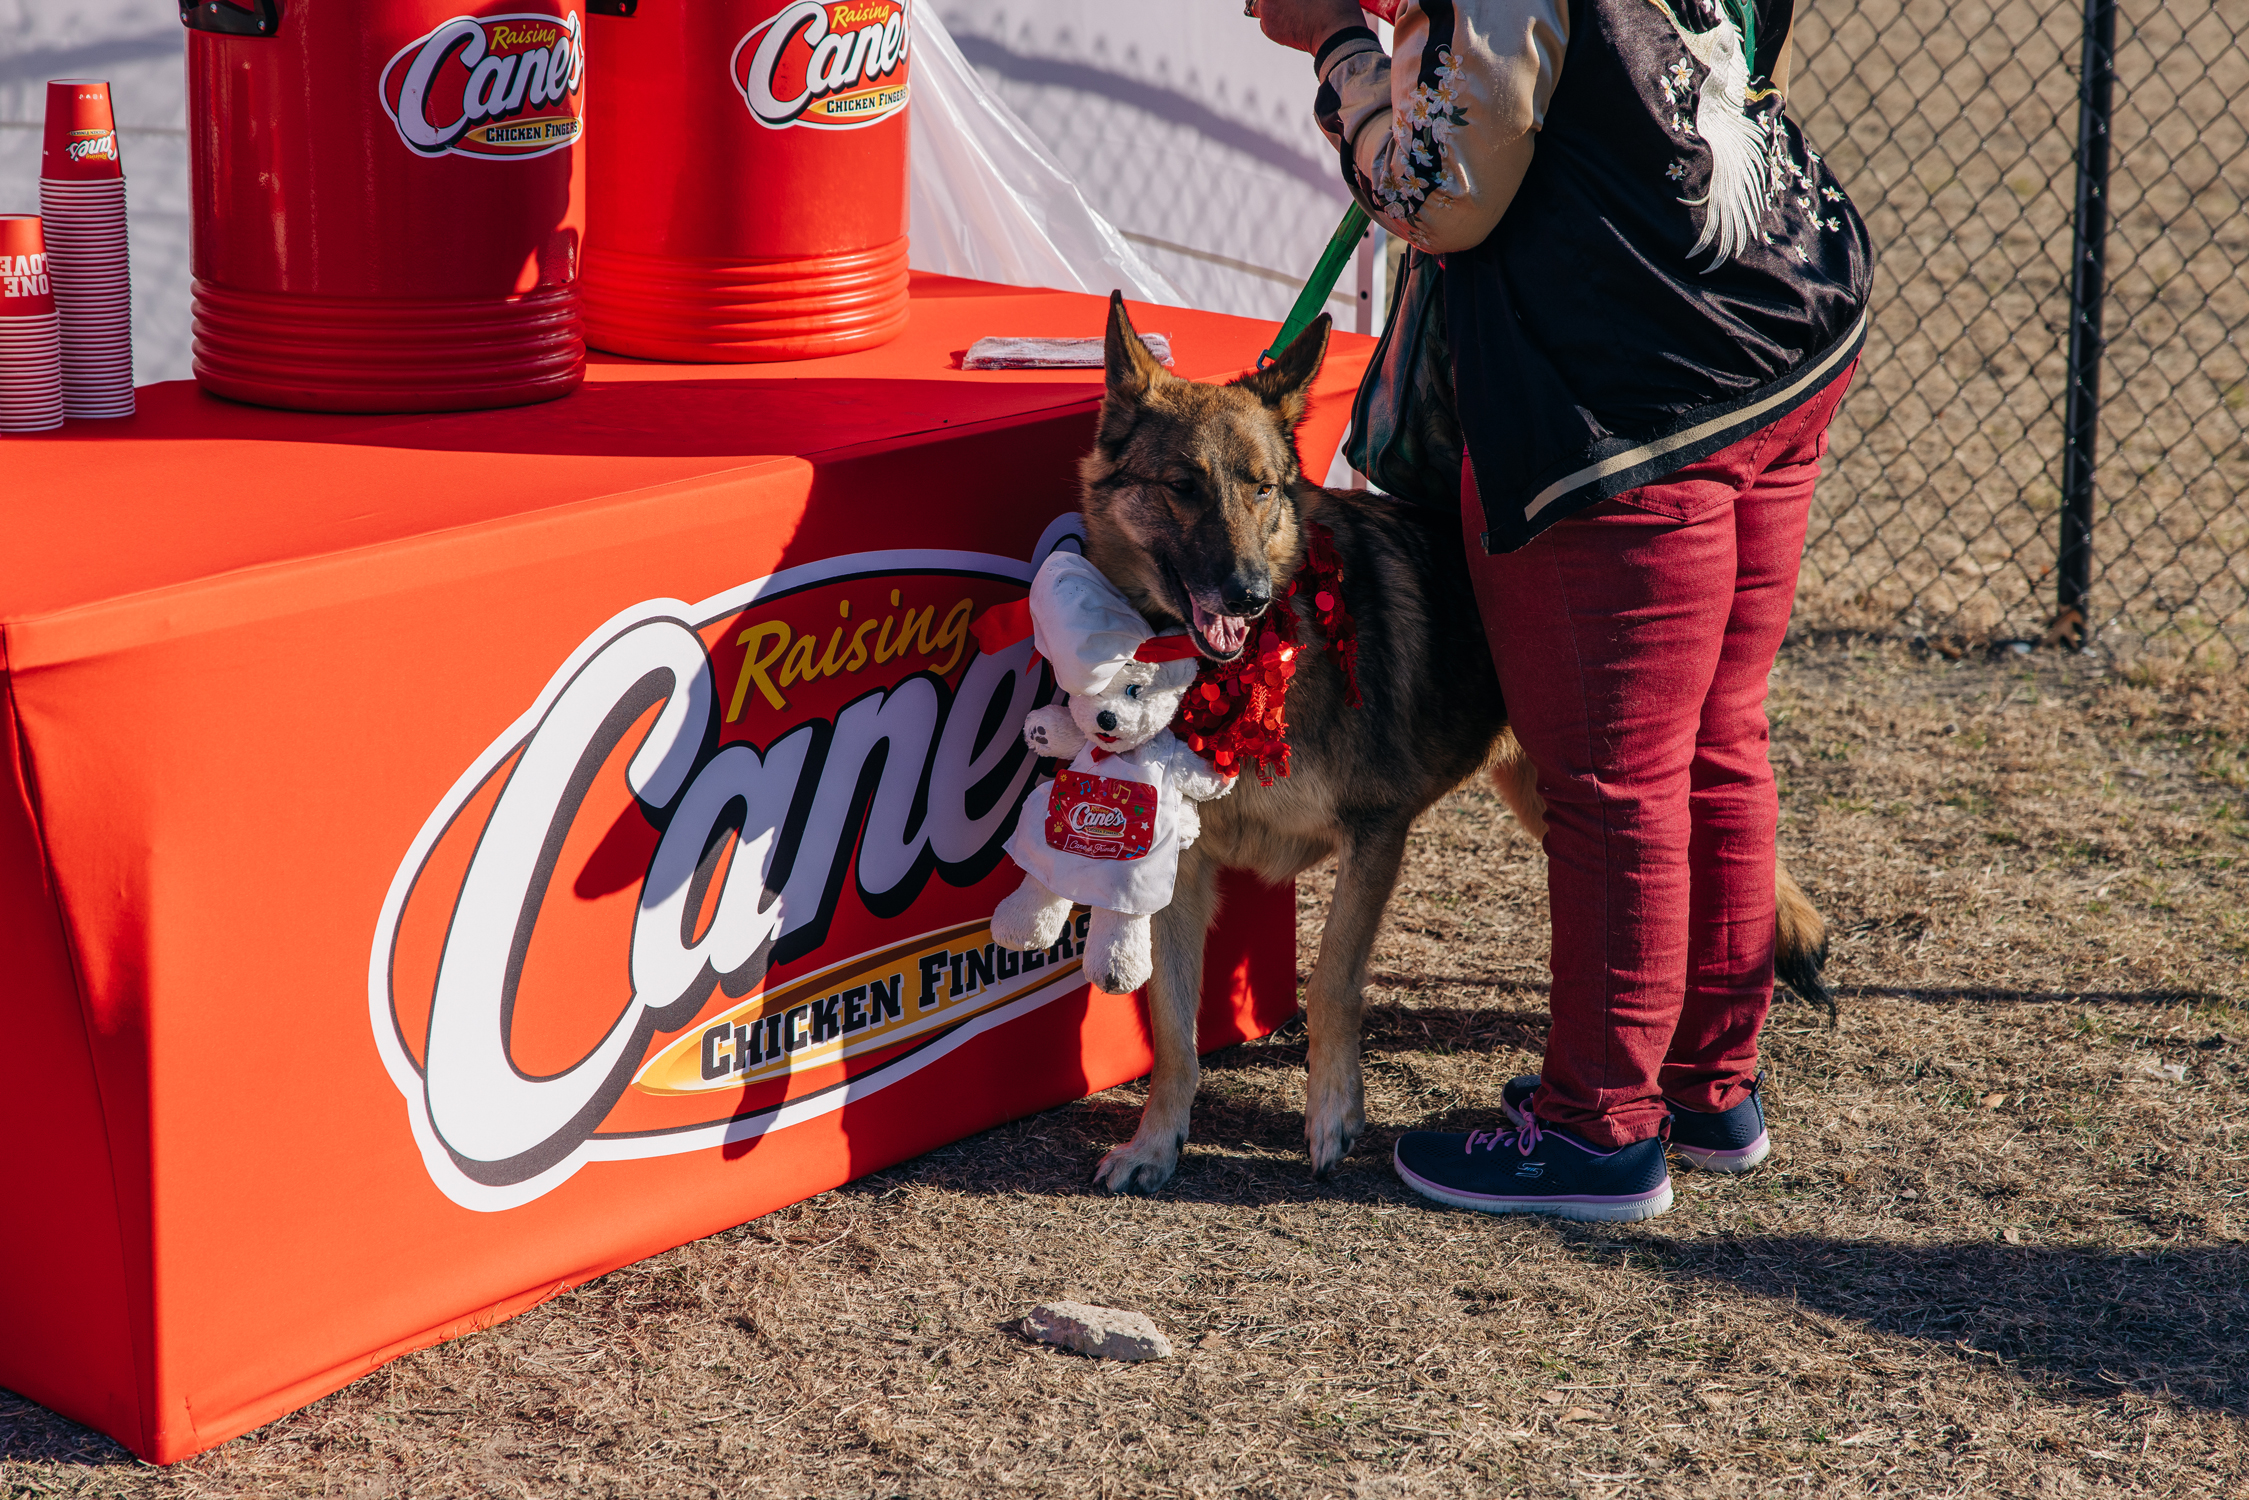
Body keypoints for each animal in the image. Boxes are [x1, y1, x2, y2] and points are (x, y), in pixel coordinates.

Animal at [1070, 292, 1826, 1187]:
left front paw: (1332, 1116)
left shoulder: (1375, 835)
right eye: (1182, 487)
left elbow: (1330, 985)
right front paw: (1156, 1142)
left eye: (1259, 490)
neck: (1251, 665)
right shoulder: (1183, 867)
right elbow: (1173, 1023)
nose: (1248, 594)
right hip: (1551, 794)